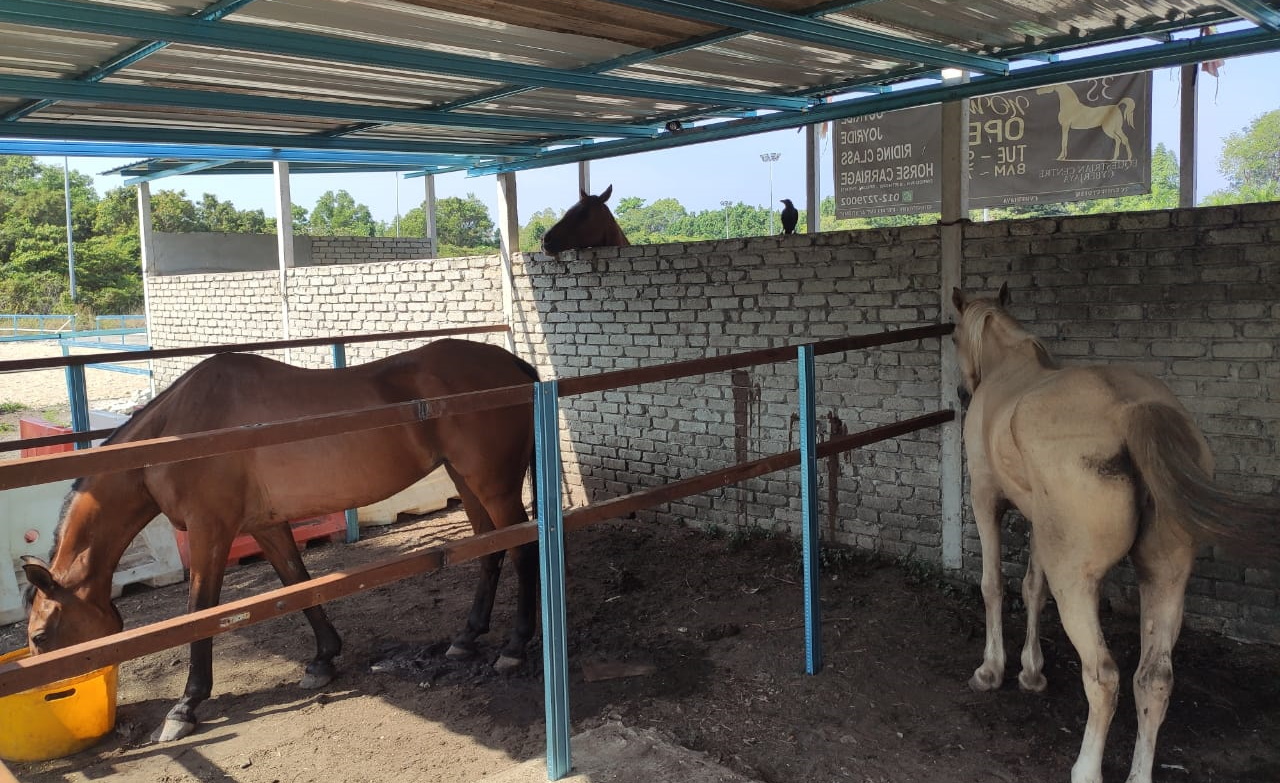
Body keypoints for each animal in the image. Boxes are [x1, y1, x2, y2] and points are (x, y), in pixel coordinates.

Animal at [21, 338, 540, 743]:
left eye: (41, 636)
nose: (54, 699)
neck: (177, 434)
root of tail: (512, 365)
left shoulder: (212, 530)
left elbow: (200, 611)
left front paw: (185, 707)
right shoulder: (264, 526)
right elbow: (298, 582)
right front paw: (323, 659)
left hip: (493, 483)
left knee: (524, 549)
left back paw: (514, 649)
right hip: (466, 479)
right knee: (490, 550)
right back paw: (466, 639)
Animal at [951, 284, 1279, 783]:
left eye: (952, 338)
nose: (961, 392)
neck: (1010, 368)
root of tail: (1131, 411)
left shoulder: (986, 499)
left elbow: (994, 585)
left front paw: (992, 671)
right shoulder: (1040, 523)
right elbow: (1032, 589)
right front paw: (1032, 672)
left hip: (1077, 583)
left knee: (1104, 676)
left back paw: (1085, 769)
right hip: (1164, 579)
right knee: (1154, 679)